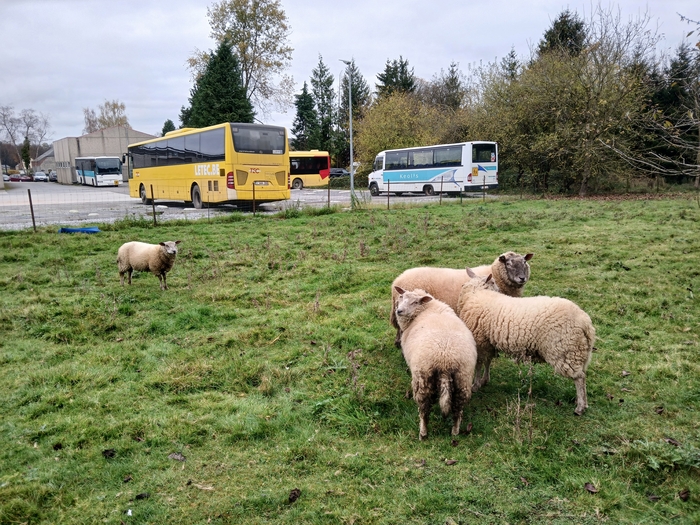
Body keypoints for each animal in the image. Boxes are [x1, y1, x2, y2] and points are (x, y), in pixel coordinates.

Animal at [394, 286, 476, 438]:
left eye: (415, 302)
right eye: (401, 297)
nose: (399, 311)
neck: (426, 308)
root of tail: (445, 361)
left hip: (423, 378)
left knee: (424, 410)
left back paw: (423, 433)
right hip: (463, 379)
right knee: (458, 409)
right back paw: (455, 432)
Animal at [460, 270, 596, 414]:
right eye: (494, 283)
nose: (500, 291)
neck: (478, 294)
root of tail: (586, 323)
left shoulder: (480, 341)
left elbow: (479, 365)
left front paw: (476, 384)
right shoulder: (488, 342)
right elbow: (487, 362)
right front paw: (485, 380)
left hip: (565, 350)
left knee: (579, 378)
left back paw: (580, 407)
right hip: (577, 351)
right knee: (582, 375)